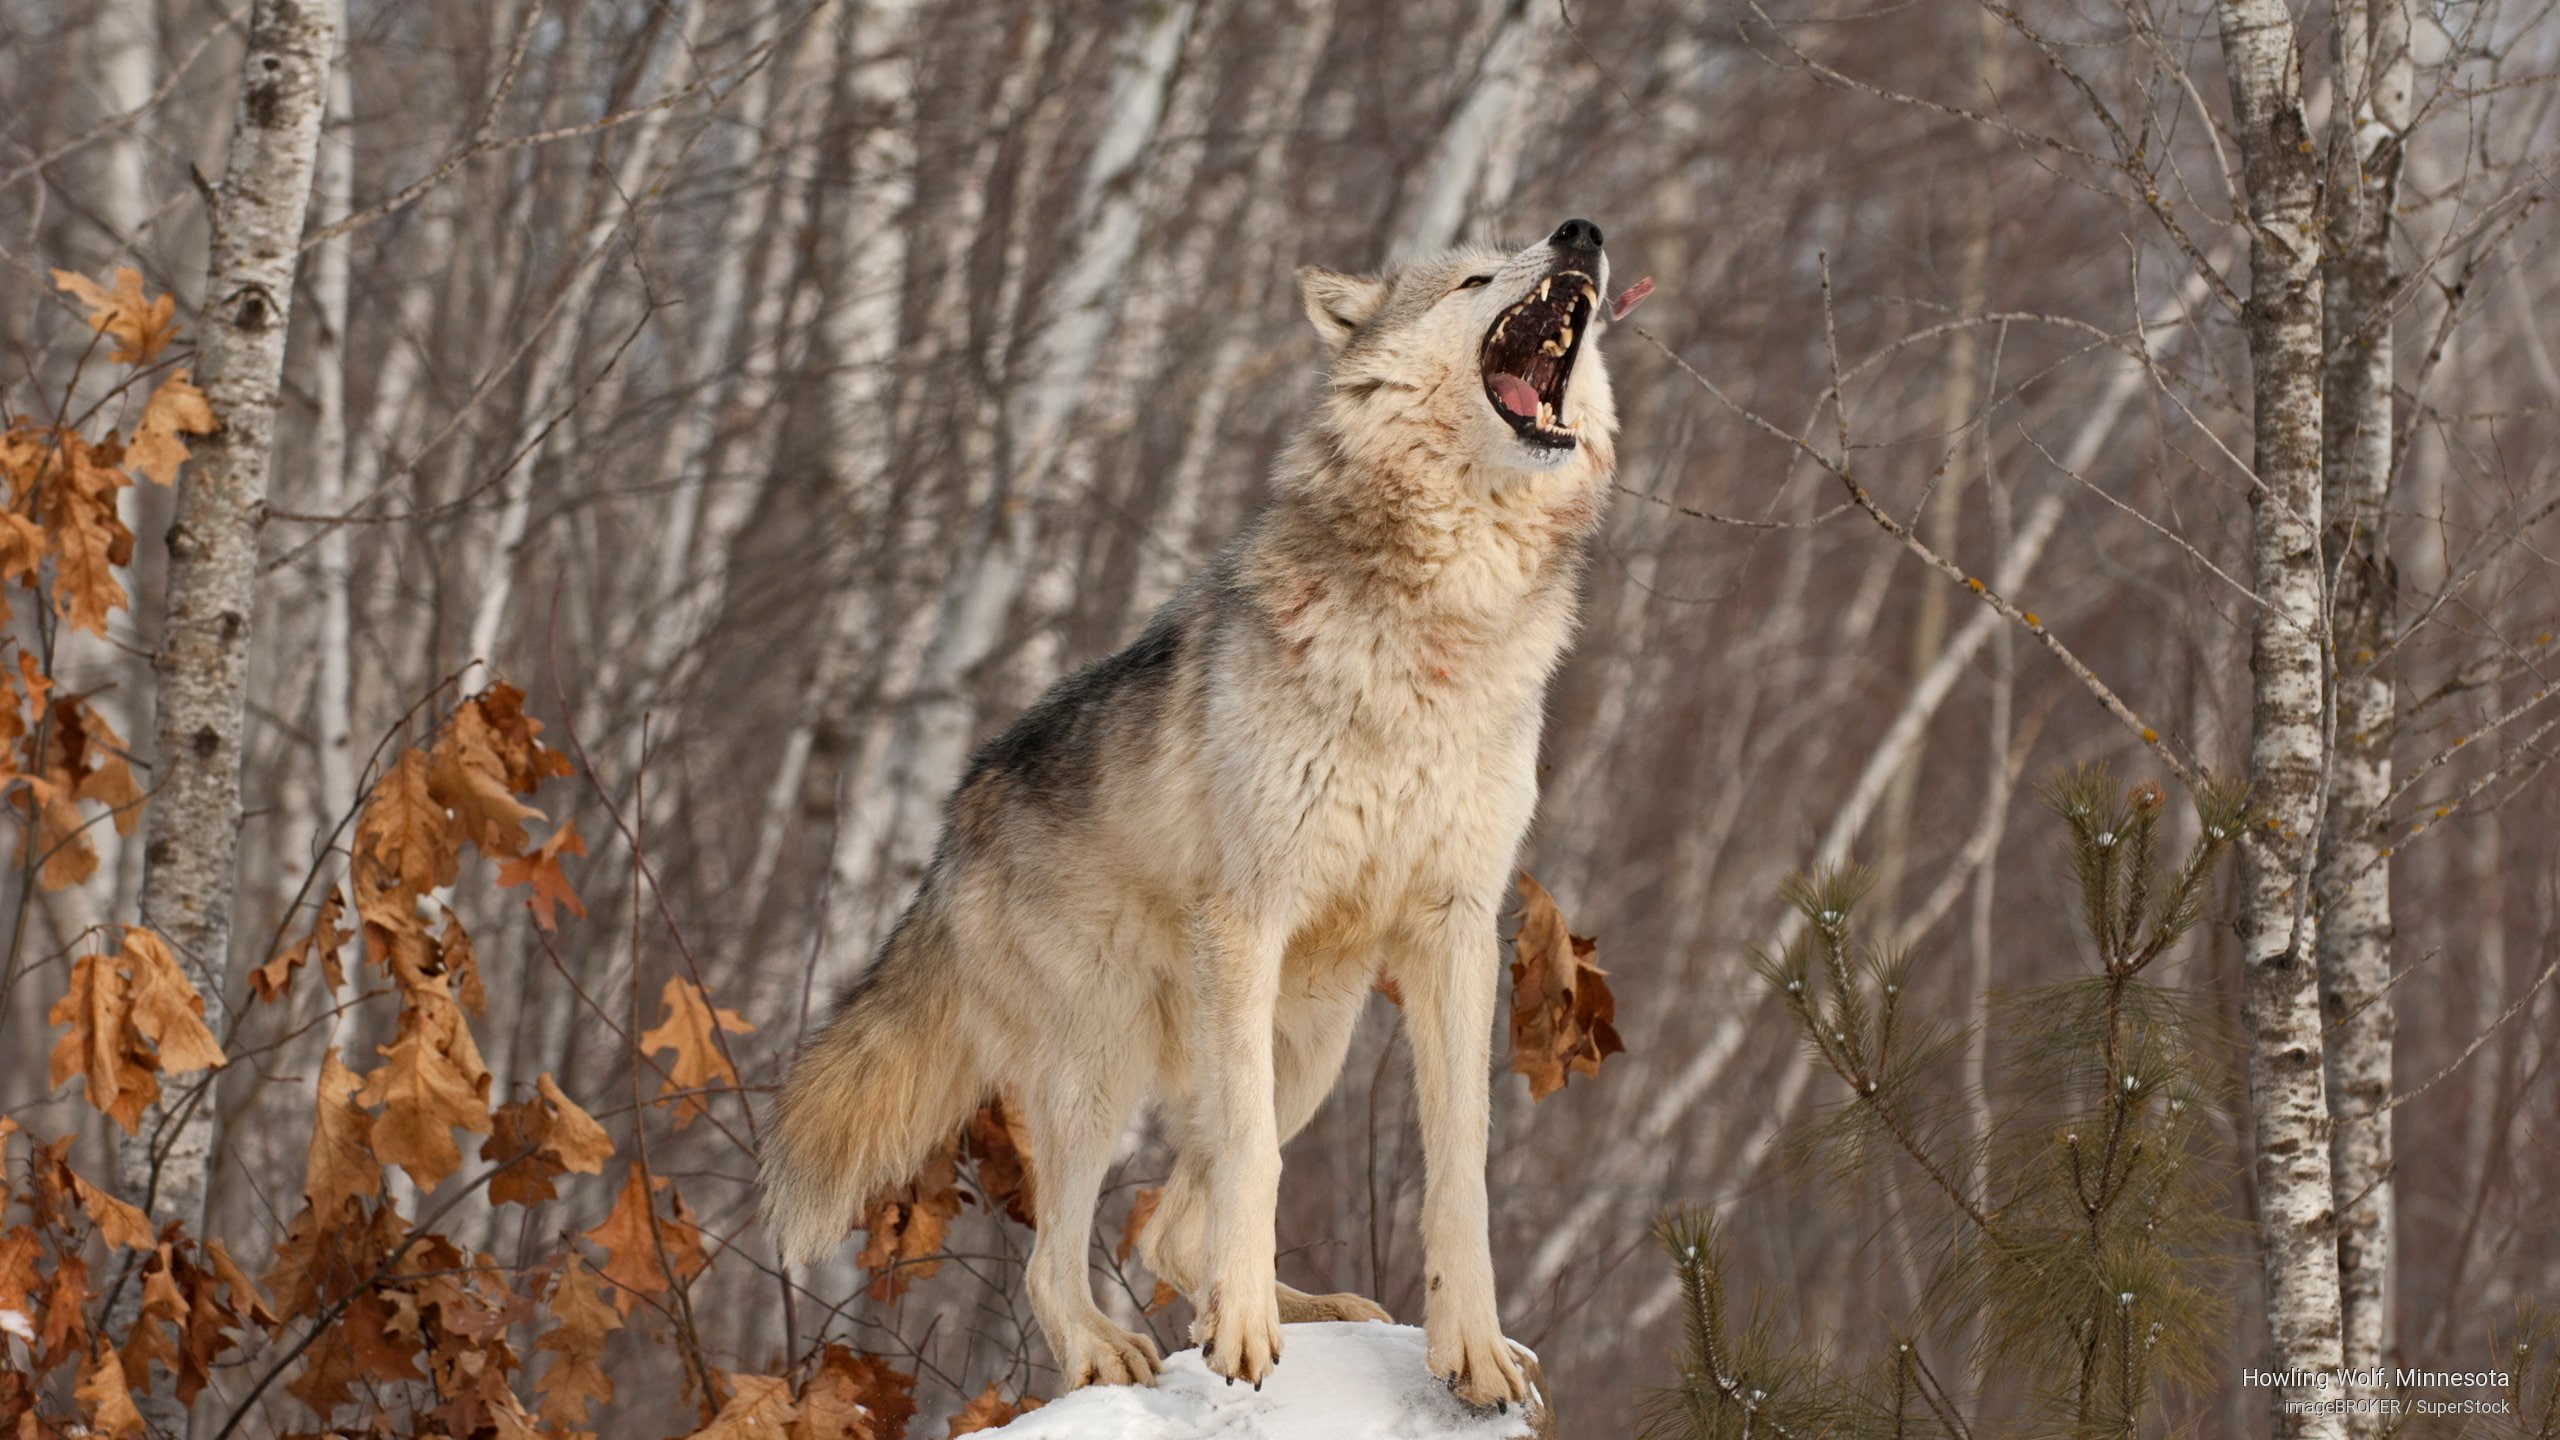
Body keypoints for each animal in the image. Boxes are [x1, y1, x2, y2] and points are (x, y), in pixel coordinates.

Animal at [763, 217, 1644, 1408]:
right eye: (1476, 273)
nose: (1580, 232)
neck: (1444, 619)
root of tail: (953, 828)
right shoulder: (1248, 919)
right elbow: (1253, 1157)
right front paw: (1241, 1340)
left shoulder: (1458, 926)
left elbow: (1458, 1162)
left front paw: (1472, 1351)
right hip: (1106, 1068)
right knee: (1064, 1257)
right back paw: (1118, 1347)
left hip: (1310, 1039)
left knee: (1167, 1233)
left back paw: (1315, 1309)